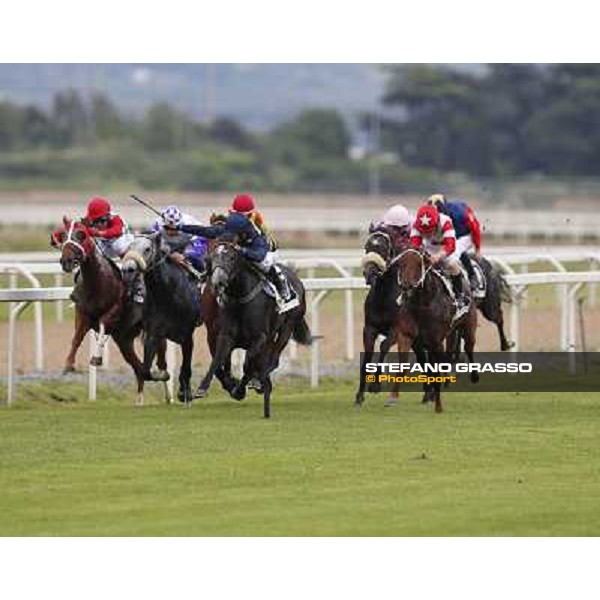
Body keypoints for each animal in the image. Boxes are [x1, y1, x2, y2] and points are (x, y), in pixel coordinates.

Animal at [196, 238, 312, 418]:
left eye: (231, 258)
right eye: (211, 258)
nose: (218, 282)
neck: (240, 298)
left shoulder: (259, 338)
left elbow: (248, 362)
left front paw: (241, 389)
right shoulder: (223, 335)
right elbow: (218, 361)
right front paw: (202, 387)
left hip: (287, 328)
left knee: (274, 358)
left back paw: (259, 380)